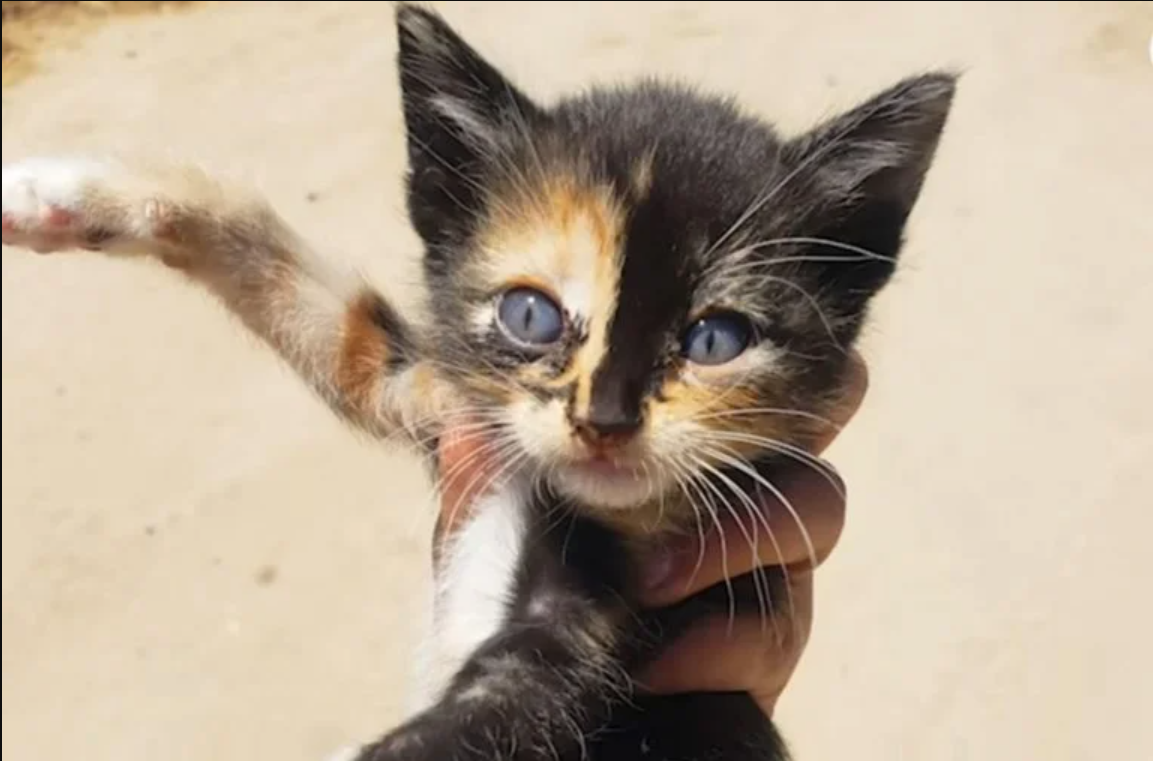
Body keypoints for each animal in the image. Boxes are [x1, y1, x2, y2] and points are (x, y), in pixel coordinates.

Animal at [0, 5, 954, 761]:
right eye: (530, 316)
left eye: (714, 339)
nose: (603, 418)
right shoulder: (424, 392)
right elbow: (297, 282)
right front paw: (61, 191)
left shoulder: (613, 621)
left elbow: (510, 703)